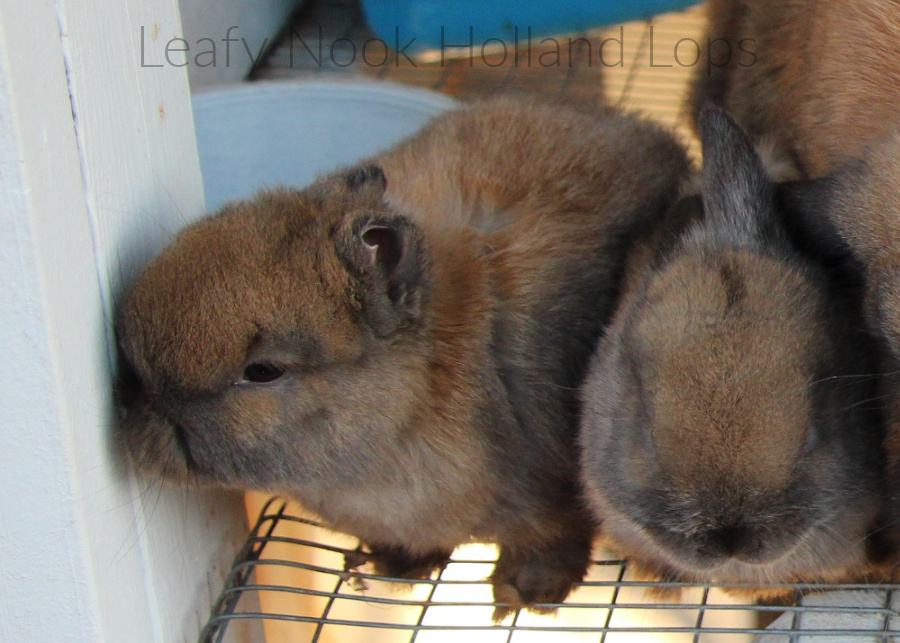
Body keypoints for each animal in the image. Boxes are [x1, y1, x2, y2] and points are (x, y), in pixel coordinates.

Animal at [114, 95, 692, 618]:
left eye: (263, 371)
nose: (134, 415)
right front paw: (389, 569)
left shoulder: (551, 506)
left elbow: (551, 546)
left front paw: (522, 597)